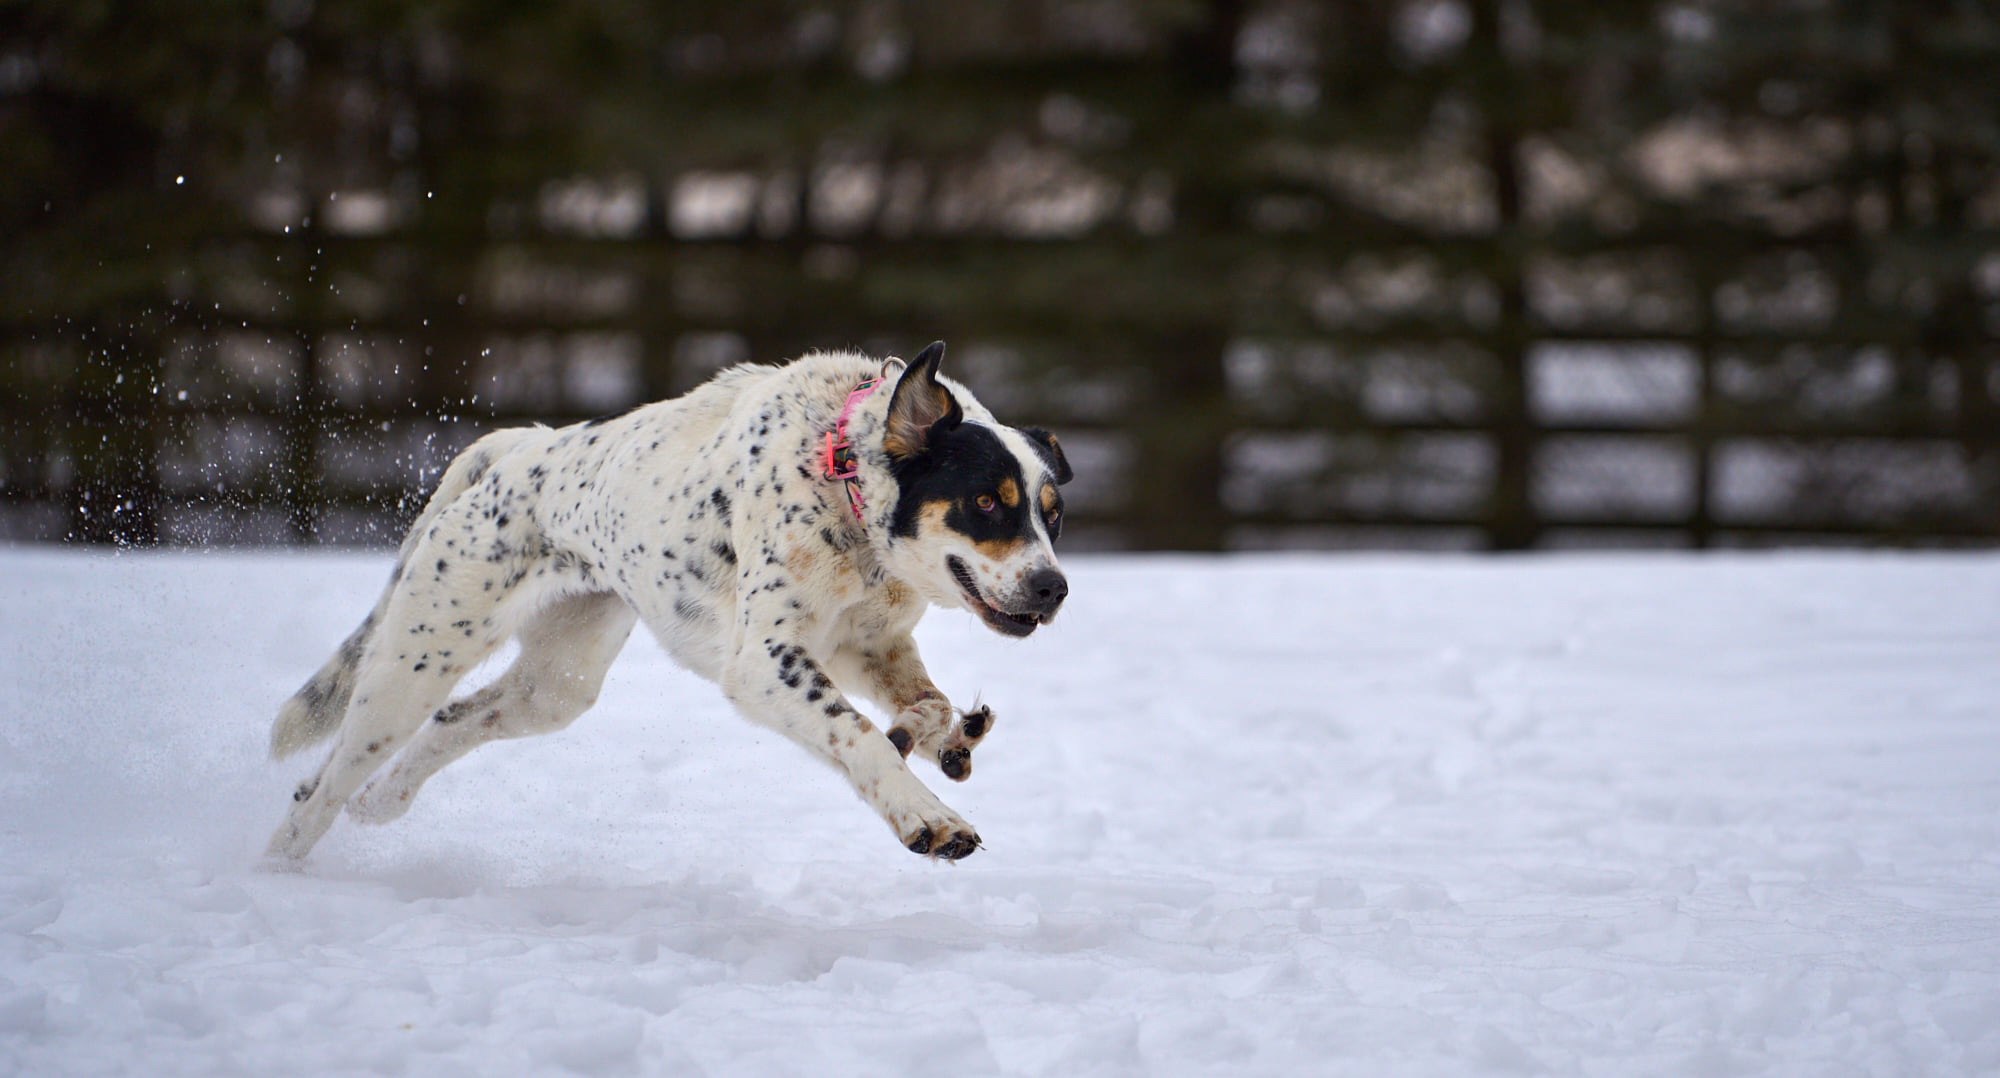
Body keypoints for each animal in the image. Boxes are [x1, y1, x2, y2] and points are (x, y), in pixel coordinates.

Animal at [274, 342, 1080, 864]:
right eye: (986, 502)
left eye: (1053, 513)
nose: (1054, 588)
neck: (842, 473)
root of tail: (514, 450)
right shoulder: (764, 662)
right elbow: (857, 736)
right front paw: (926, 813)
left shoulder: (865, 642)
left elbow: (929, 703)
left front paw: (938, 736)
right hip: (414, 663)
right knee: (323, 785)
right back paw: (278, 869)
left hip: (556, 685)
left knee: (451, 723)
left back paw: (380, 803)